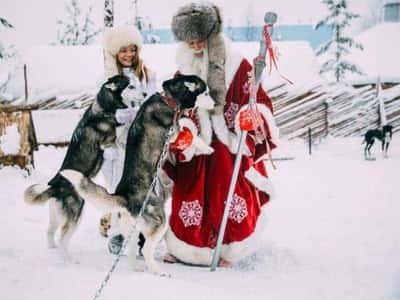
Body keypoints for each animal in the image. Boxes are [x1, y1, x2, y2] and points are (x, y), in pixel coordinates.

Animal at [23, 75, 129, 262]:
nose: (128, 76)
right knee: (63, 238)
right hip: (76, 214)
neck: (101, 111)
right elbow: (120, 135)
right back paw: (68, 260)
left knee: (50, 231)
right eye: (119, 79)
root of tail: (54, 185)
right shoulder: (107, 142)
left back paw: (52, 249)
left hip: (57, 216)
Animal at [60, 74, 212, 274]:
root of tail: (124, 197)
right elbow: (188, 128)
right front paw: (207, 147)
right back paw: (158, 271)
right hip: (160, 222)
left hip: (132, 229)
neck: (169, 99)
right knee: (146, 249)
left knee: (130, 249)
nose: (215, 104)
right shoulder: (173, 132)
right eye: (206, 92)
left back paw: (137, 267)